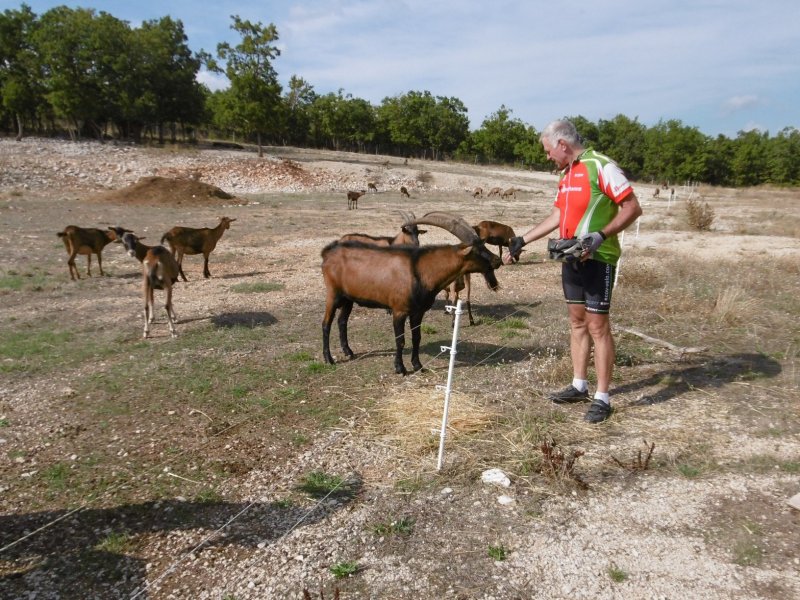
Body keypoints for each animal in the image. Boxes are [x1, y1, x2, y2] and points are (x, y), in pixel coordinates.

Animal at [320, 210, 500, 376]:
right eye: (476, 251)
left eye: (484, 245)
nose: (497, 260)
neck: (420, 271)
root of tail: (327, 252)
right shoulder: (399, 310)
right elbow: (400, 340)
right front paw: (400, 368)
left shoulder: (418, 312)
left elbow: (416, 338)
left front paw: (418, 365)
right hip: (333, 293)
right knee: (326, 323)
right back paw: (329, 359)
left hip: (348, 298)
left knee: (342, 321)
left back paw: (349, 352)